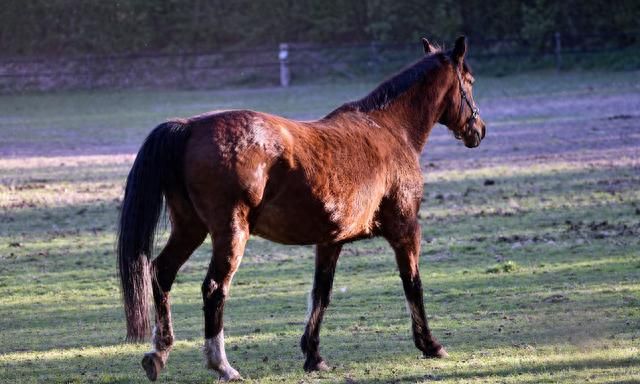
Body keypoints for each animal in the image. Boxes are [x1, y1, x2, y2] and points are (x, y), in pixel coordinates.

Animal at [117, 36, 484, 380]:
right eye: (469, 81)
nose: (478, 130)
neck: (389, 129)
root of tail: (190, 126)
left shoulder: (331, 241)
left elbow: (321, 293)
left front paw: (314, 355)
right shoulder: (405, 230)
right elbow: (413, 284)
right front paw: (430, 344)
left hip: (190, 229)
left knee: (161, 272)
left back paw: (159, 353)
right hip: (230, 234)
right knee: (214, 288)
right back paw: (222, 365)